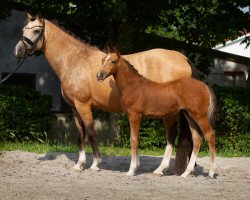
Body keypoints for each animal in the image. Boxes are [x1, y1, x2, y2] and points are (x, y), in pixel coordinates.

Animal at [14, 13, 195, 174]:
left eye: (37, 30)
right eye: (24, 29)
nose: (18, 50)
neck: (74, 60)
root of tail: (183, 59)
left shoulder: (84, 105)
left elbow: (91, 132)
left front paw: (95, 164)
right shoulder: (74, 108)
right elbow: (80, 134)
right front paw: (79, 165)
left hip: (170, 113)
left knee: (172, 134)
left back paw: (161, 169)